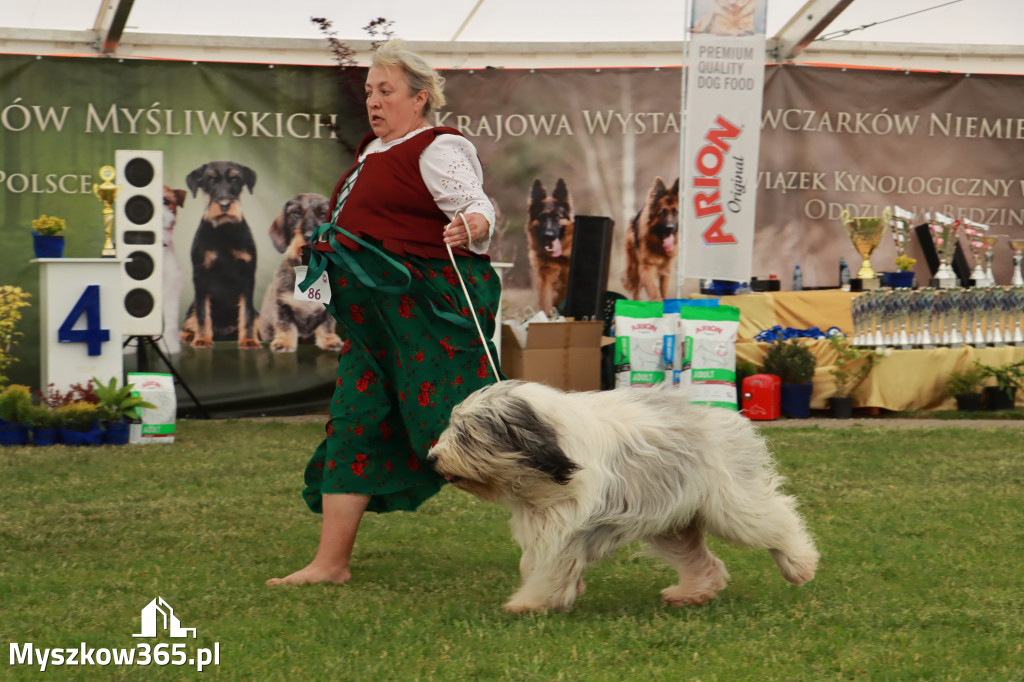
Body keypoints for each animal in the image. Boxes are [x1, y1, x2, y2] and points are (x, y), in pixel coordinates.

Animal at [428, 376, 819, 610]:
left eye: (466, 435)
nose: (432, 458)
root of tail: (723, 415)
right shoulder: (542, 521)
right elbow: (537, 562)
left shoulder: (564, 525)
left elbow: (551, 567)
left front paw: (529, 602)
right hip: (671, 522)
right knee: (704, 561)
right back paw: (692, 592)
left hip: (731, 504)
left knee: (777, 518)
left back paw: (800, 565)